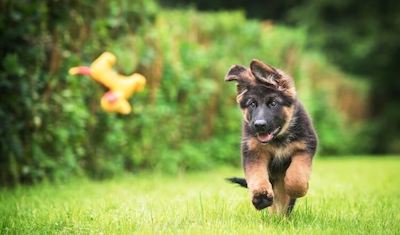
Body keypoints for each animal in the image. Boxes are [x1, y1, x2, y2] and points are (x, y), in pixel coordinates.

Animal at [225, 59, 318, 215]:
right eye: (252, 104)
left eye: (273, 103)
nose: (259, 125)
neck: (277, 139)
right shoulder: (254, 152)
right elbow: (256, 175)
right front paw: (261, 196)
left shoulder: (305, 147)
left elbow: (297, 176)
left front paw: (297, 189)